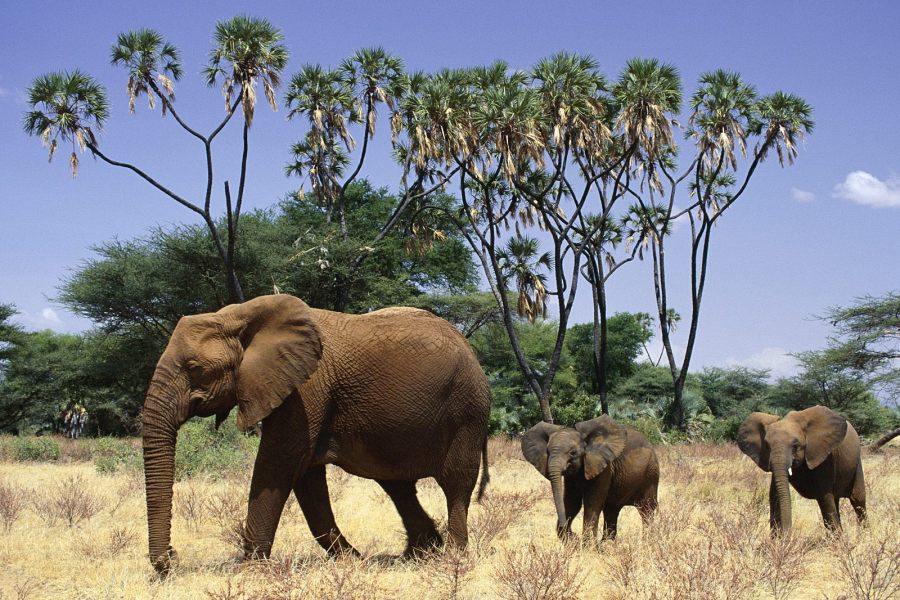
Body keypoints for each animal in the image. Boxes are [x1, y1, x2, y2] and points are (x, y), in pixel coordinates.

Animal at [143, 292, 488, 576]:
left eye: (194, 367)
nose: (171, 559)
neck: (237, 315)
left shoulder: (306, 388)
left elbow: (279, 463)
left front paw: (249, 570)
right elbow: (307, 478)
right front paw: (352, 561)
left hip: (467, 410)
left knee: (455, 482)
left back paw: (452, 557)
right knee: (396, 485)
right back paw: (419, 554)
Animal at [520, 414, 660, 540]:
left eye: (573, 453)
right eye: (547, 452)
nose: (573, 535)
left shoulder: (603, 467)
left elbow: (592, 503)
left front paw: (587, 546)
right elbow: (572, 502)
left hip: (651, 474)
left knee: (647, 510)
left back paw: (648, 541)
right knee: (612, 510)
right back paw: (607, 545)